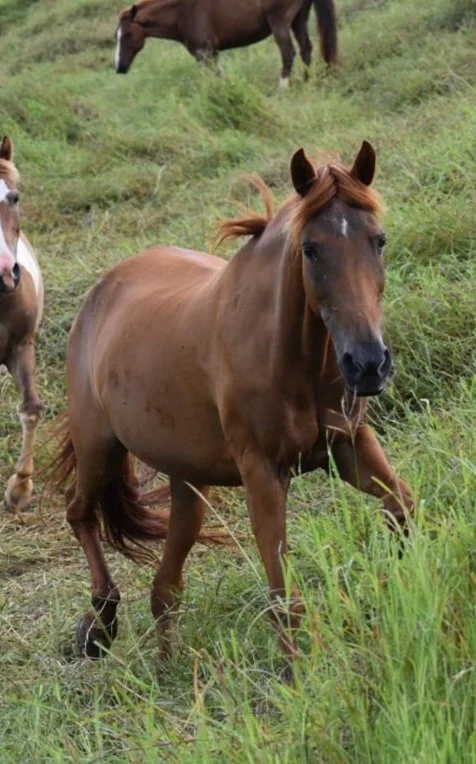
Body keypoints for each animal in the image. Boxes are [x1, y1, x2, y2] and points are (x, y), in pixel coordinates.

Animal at [52, 140, 414, 665]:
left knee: (165, 589)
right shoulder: (262, 472)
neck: (289, 356)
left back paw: (168, 668)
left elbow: (402, 508)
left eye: (378, 240)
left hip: (188, 482)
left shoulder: (349, 444)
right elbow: (283, 596)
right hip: (100, 448)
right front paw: (297, 672)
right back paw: (99, 623)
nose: (368, 364)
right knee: (79, 512)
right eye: (311, 249)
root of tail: (102, 291)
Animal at [114, 0, 338, 89]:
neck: (182, 11)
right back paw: (307, 82)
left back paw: (283, 88)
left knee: (288, 53)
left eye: (127, 34)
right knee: (306, 49)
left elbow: (213, 77)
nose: (119, 67)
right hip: (298, 20)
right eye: (116, 35)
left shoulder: (204, 53)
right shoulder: (212, 53)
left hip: (280, 22)